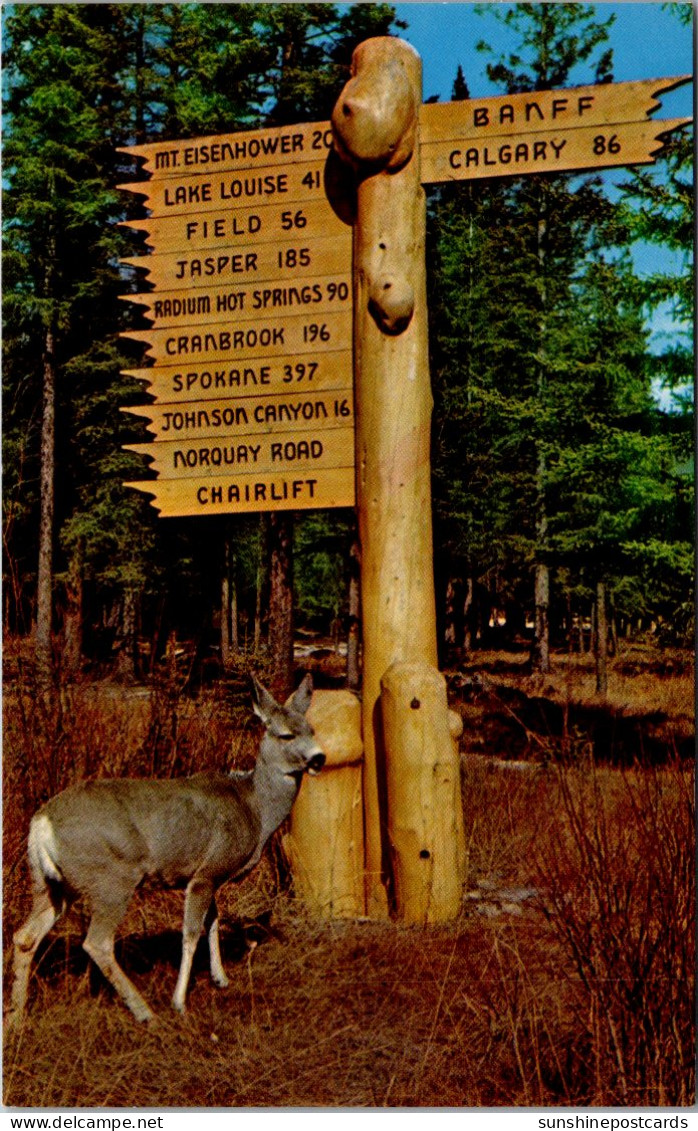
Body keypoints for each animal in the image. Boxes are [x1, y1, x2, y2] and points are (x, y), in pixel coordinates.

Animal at [8, 669, 323, 1026]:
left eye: (312, 730)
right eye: (285, 735)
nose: (319, 758)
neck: (254, 808)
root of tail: (40, 824)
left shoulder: (206, 874)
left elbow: (213, 921)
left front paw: (221, 978)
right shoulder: (207, 872)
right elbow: (191, 932)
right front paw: (179, 1001)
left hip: (51, 883)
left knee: (24, 936)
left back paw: (15, 1018)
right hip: (111, 879)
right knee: (97, 942)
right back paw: (145, 1012)